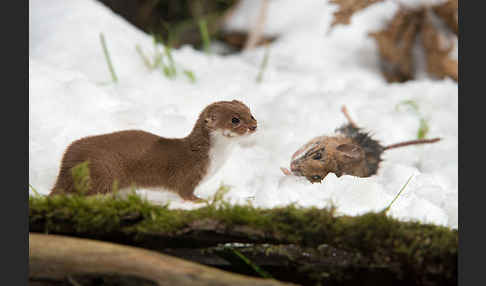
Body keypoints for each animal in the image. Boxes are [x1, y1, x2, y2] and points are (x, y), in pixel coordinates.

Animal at [49, 100, 258, 201]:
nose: (254, 126)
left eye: (251, 114)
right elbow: (184, 191)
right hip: (103, 172)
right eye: (235, 119)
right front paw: (199, 200)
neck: (215, 160)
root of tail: (66, 163)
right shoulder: (188, 174)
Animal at [280, 105, 442, 183]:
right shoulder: (326, 138)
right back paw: (344, 108)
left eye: (316, 177)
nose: (291, 166)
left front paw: (285, 170)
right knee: (353, 123)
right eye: (318, 155)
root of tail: (382, 148)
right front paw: (291, 159)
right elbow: (310, 142)